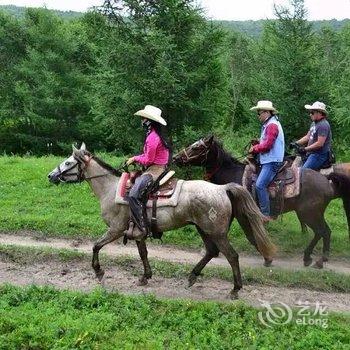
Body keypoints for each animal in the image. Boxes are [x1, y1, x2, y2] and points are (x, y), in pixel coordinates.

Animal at [47, 142, 276, 298]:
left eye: (68, 162)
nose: (51, 175)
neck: (110, 189)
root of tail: (222, 189)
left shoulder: (116, 229)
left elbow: (96, 246)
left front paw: (99, 272)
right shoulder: (137, 232)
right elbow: (143, 254)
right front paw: (145, 277)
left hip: (216, 232)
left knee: (232, 256)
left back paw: (235, 289)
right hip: (204, 229)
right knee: (212, 252)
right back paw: (192, 277)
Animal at [174, 135, 350, 270]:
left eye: (197, 147)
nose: (176, 158)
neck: (233, 176)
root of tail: (327, 182)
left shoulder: (243, 214)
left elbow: (251, 236)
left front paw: (267, 258)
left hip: (309, 213)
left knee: (323, 231)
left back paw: (317, 260)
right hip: (312, 214)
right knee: (324, 232)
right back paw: (313, 259)